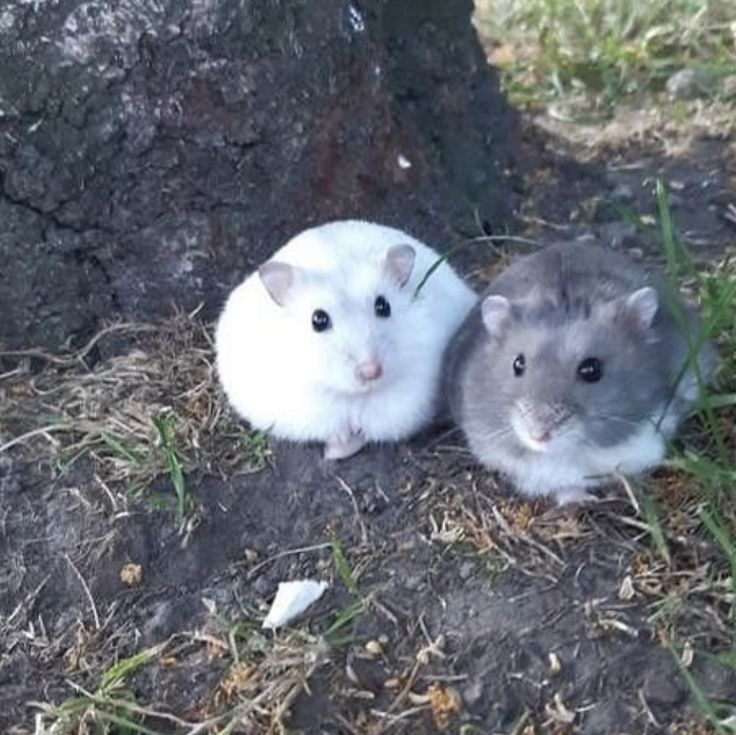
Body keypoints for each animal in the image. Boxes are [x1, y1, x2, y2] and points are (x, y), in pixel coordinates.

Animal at [216, 220, 477, 460]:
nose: (371, 371)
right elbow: (334, 427)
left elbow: (372, 425)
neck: (352, 395)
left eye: (383, 306)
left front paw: (341, 447)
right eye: (318, 320)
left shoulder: (408, 399)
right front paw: (335, 450)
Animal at [444, 241, 718, 504]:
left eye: (591, 370)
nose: (538, 434)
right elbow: (562, 486)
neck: (571, 450)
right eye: (517, 364)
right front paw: (581, 500)